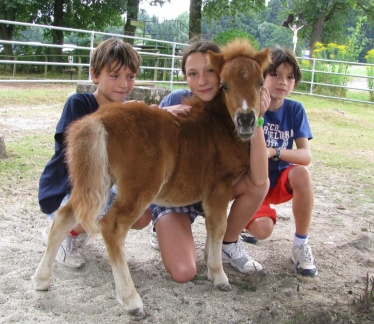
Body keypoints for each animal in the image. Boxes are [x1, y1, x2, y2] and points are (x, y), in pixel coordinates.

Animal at [32, 39, 270, 316]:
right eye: (224, 85)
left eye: (260, 83)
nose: (246, 120)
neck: (218, 125)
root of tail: (98, 119)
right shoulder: (218, 187)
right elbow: (219, 226)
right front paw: (219, 276)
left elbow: (213, 228)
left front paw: (211, 267)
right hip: (139, 189)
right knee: (111, 226)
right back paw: (131, 300)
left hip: (96, 183)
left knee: (65, 215)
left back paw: (41, 280)